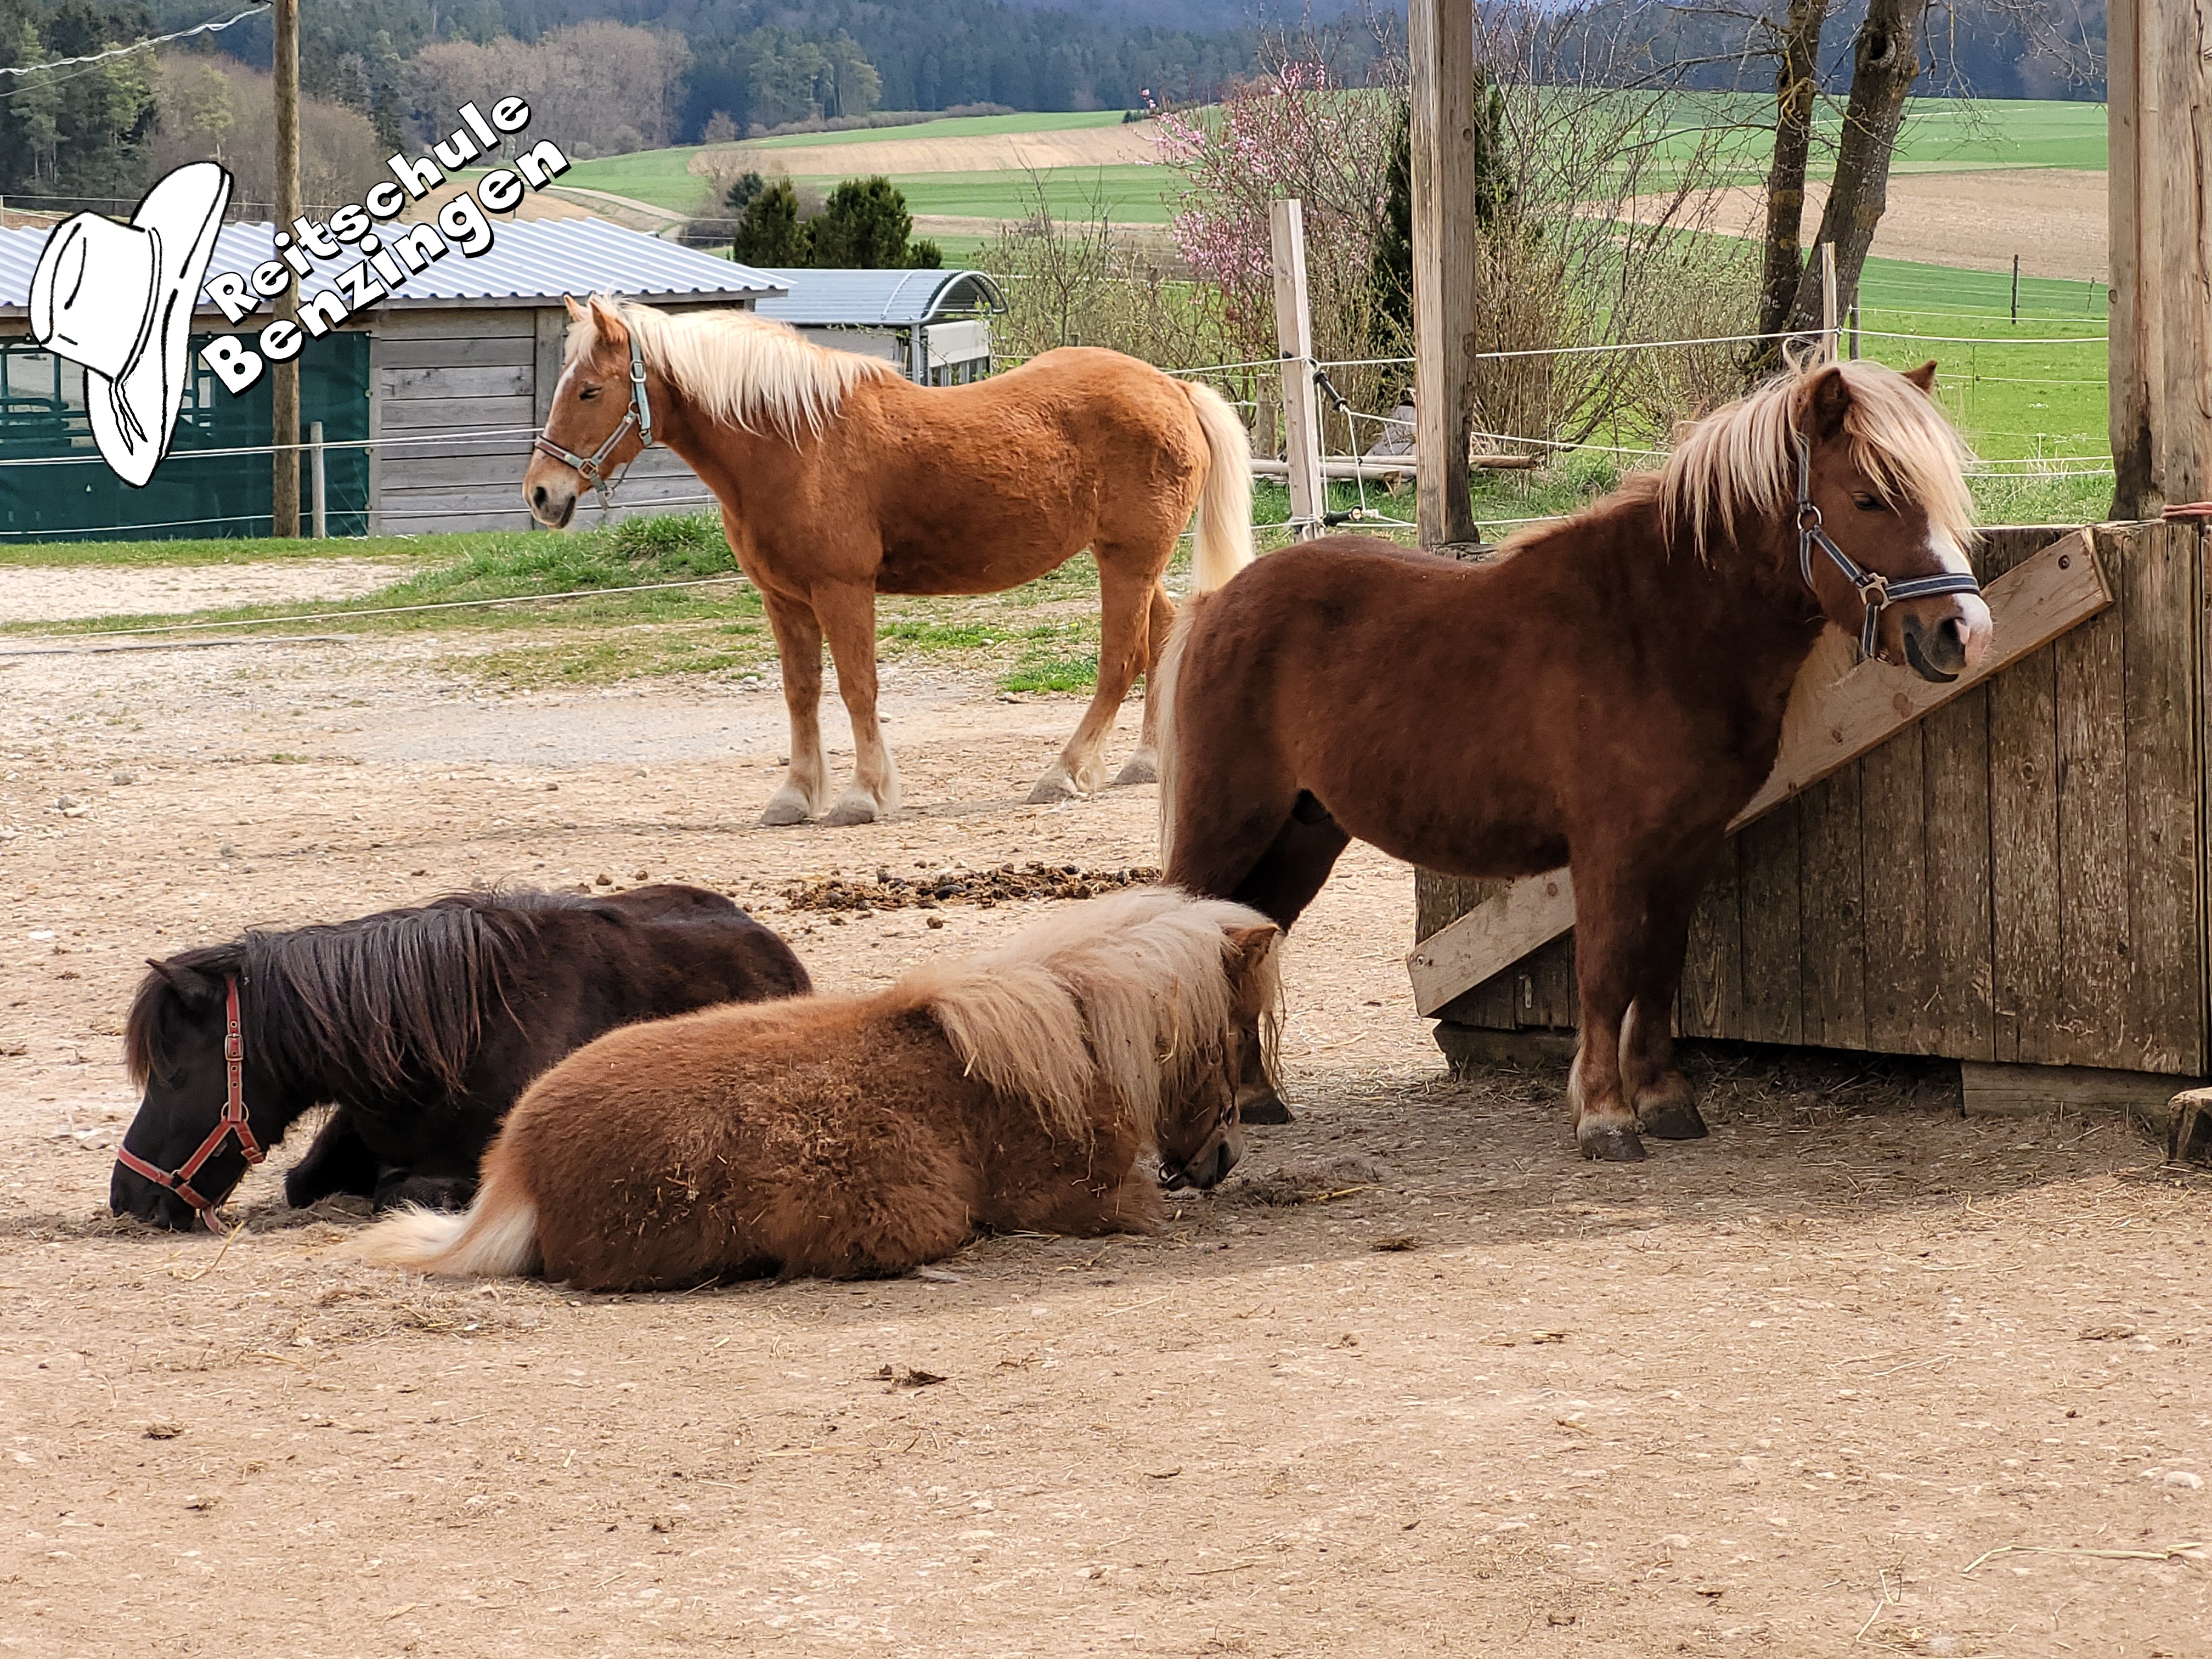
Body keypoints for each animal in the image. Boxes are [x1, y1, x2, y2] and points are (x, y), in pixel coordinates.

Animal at [521, 295, 1254, 825]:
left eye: (589, 391)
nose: (542, 495)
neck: (794, 441)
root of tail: (1175, 390)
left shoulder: (842, 588)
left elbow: (857, 687)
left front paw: (861, 795)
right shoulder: (783, 597)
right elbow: (802, 692)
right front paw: (795, 796)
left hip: (1128, 560)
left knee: (1120, 662)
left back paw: (1063, 773)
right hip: (1132, 561)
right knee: (1161, 637)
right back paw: (1145, 763)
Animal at [1155, 357, 1991, 1163]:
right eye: (1870, 498)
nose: (1965, 631)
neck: (1655, 630)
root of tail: (1218, 602)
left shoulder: (1689, 846)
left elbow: (1661, 971)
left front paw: (1666, 1103)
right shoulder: (1609, 850)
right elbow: (1608, 972)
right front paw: (1606, 1117)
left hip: (1304, 832)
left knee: (1245, 939)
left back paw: (1256, 1097)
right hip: (1226, 824)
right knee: (1191, 930)